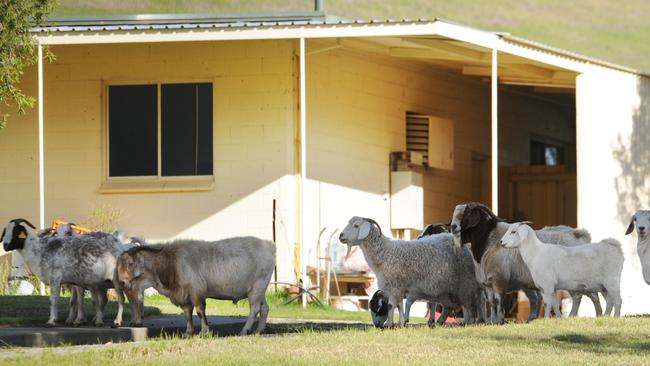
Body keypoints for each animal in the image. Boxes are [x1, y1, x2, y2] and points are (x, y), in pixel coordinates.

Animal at [115, 237, 274, 338]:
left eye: (130, 264)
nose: (121, 282)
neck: (171, 262)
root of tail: (270, 245)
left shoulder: (196, 291)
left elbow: (199, 311)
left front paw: (204, 332)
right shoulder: (183, 295)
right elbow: (187, 314)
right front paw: (188, 332)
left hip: (256, 287)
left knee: (255, 309)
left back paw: (245, 330)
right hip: (261, 290)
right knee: (264, 308)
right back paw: (259, 330)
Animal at [340, 216, 480, 324]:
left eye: (356, 225)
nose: (340, 236)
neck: (386, 253)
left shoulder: (397, 286)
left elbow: (392, 305)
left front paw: (390, 324)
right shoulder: (396, 287)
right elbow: (399, 305)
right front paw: (399, 323)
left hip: (465, 282)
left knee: (469, 304)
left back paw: (468, 321)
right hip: (449, 287)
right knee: (449, 306)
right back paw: (441, 321)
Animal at [450, 203, 596, 324]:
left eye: (468, 214)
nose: (453, 227)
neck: (490, 242)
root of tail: (580, 234)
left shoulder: (499, 281)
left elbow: (498, 301)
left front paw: (500, 321)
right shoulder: (487, 284)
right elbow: (492, 303)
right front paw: (492, 321)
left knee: (579, 297)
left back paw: (576, 316)